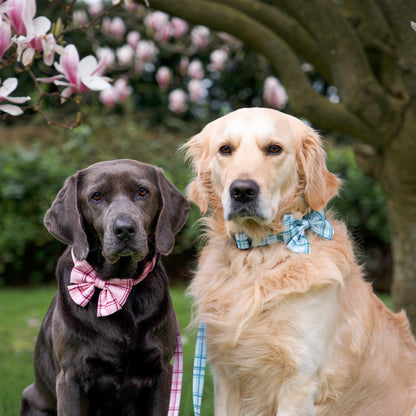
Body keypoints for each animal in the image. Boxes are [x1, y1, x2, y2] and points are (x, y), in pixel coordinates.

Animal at [183, 108, 416, 416]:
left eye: (274, 148)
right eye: (225, 149)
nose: (242, 191)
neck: (259, 254)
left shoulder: (300, 381)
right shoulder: (226, 378)